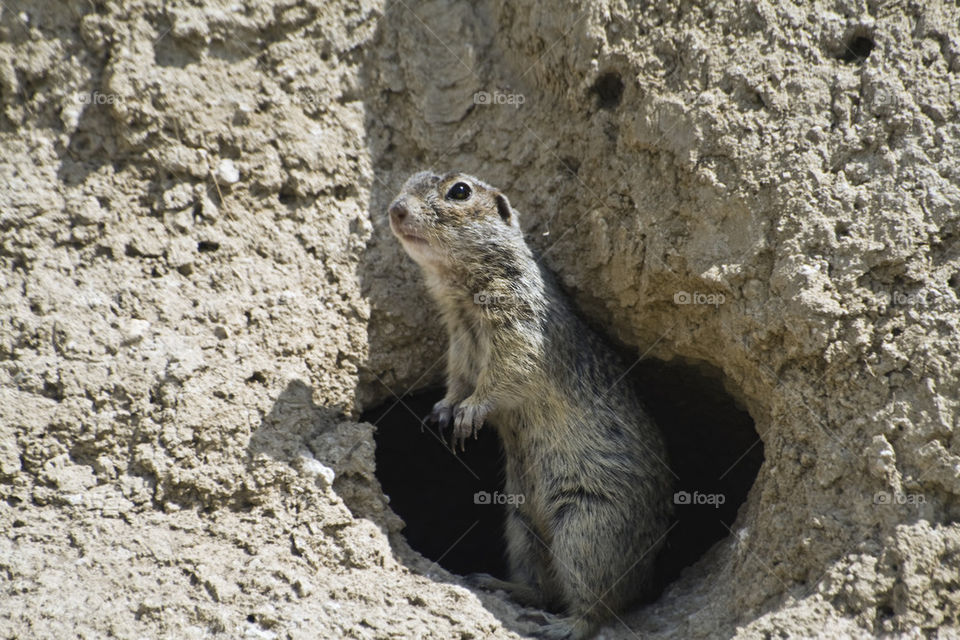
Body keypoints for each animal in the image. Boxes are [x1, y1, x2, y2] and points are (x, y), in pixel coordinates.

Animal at [386, 171, 672, 640]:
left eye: (460, 191)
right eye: (409, 180)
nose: (396, 209)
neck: (463, 296)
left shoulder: (517, 323)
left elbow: (506, 371)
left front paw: (469, 414)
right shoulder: (459, 342)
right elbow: (457, 378)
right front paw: (443, 411)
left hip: (588, 530)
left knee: (599, 607)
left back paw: (559, 625)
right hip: (521, 529)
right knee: (541, 587)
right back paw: (496, 584)